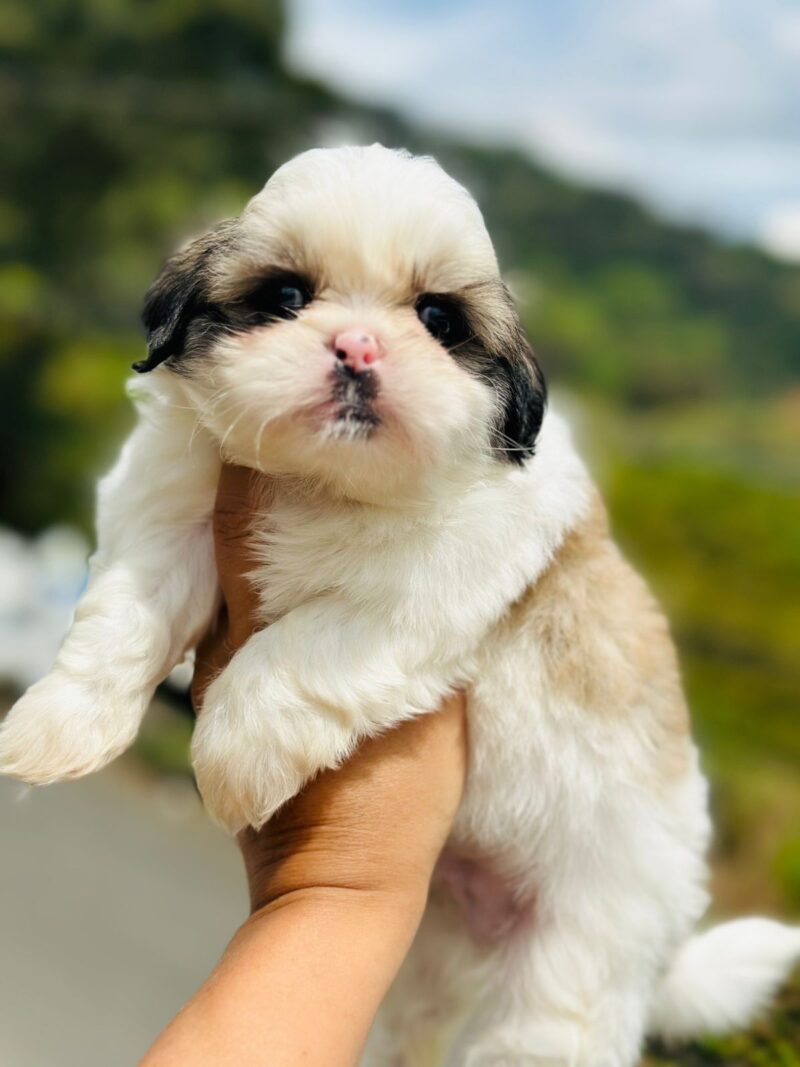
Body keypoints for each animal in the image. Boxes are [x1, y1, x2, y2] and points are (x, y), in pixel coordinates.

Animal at [2, 145, 798, 1065]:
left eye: (438, 319)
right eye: (286, 297)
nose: (358, 345)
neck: (324, 484)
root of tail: (667, 927)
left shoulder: (430, 593)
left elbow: (299, 650)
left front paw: (233, 755)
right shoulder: (166, 507)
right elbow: (126, 612)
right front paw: (58, 723)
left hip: (570, 972)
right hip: (437, 946)